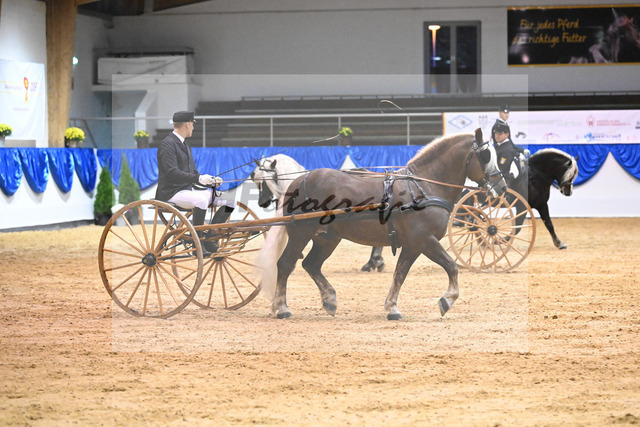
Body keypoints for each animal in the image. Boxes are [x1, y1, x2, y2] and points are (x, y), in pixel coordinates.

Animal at [258, 130, 508, 320]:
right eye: (486, 154)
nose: (502, 186)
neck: (423, 188)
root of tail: (300, 180)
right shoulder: (425, 241)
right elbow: (452, 266)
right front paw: (447, 300)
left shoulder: (413, 245)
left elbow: (400, 274)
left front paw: (392, 308)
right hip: (301, 234)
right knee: (285, 264)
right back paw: (281, 308)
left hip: (327, 238)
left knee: (311, 264)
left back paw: (329, 300)